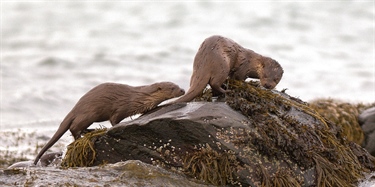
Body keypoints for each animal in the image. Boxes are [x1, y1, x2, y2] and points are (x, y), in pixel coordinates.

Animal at [33, 82, 185, 165]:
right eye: (173, 88)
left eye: (177, 85)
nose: (183, 90)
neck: (138, 98)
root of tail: (76, 107)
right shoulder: (121, 108)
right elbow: (114, 120)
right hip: (89, 113)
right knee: (74, 127)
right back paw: (81, 136)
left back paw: (90, 131)